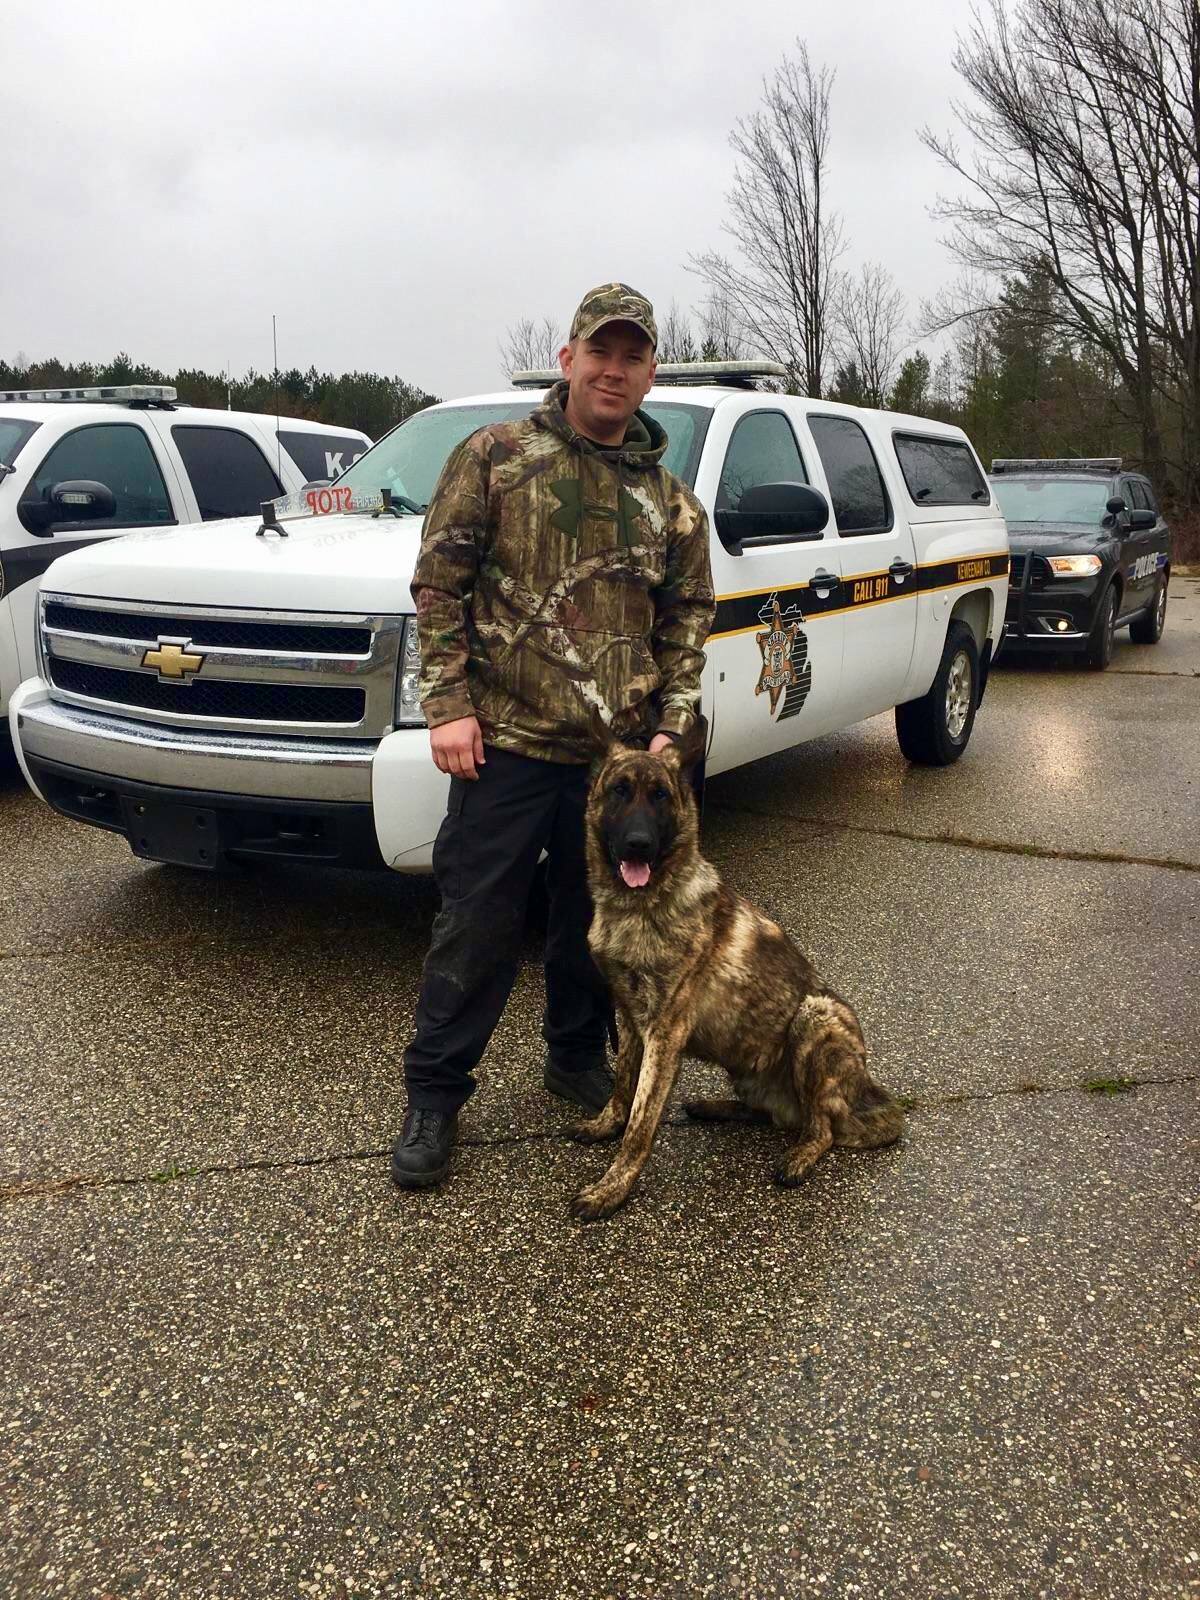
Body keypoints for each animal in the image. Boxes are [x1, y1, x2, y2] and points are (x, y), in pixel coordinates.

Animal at [569, 726, 902, 1222]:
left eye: (661, 796)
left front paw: (612, 1189)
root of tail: (862, 1089)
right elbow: (623, 1089)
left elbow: (641, 1122)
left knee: (821, 1127)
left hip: (816, 1016)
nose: (638, 844)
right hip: (750, 1069)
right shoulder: (627, 1018)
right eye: (619, 791)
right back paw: (714, 1107)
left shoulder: (664, 1033)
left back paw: (800, 1155)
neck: (640, 907)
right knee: (772, 1114)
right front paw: (605, 1125)